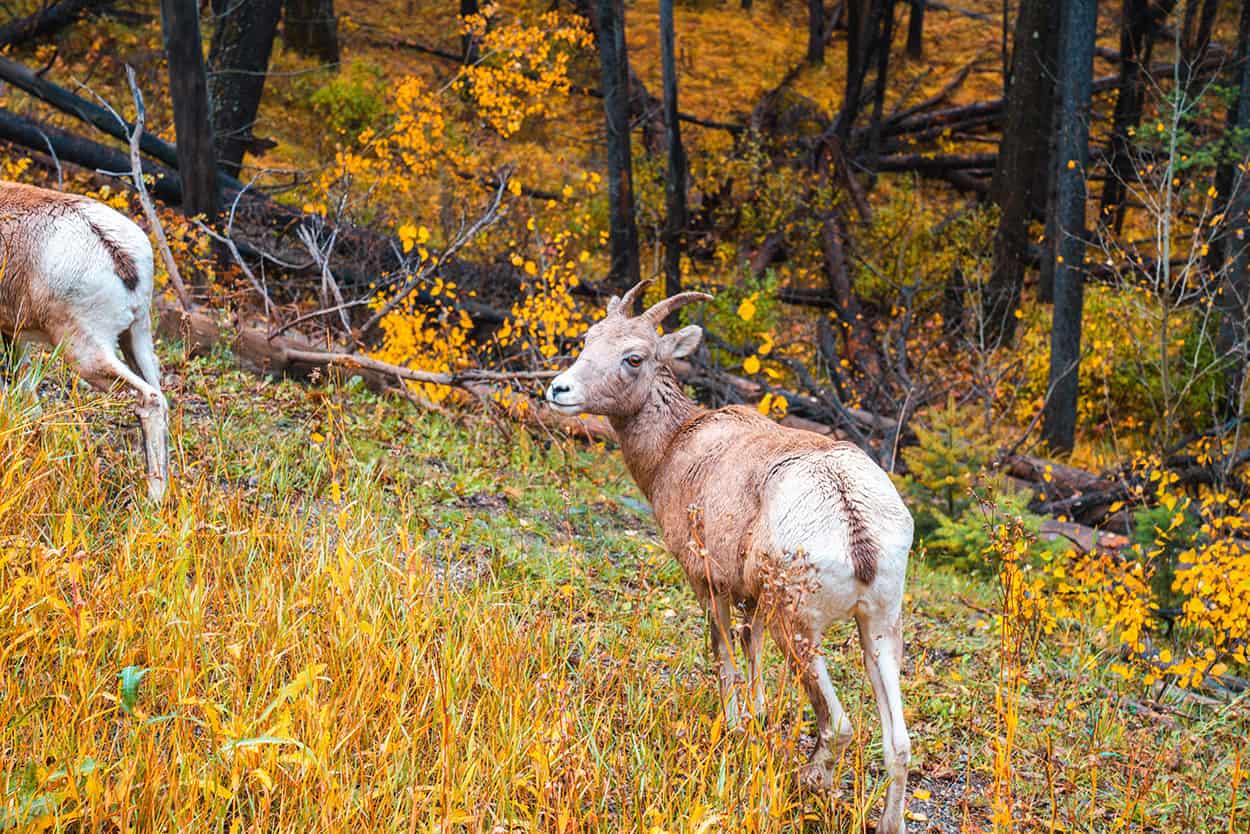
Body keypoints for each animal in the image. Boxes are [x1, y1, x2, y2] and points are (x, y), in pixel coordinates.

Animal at [547, 282, 920, 834]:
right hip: (879, 626)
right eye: (589, 339)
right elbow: (752, 652)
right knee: (898, 744)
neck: (673, 448)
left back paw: (810, 783)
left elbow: (724, 656)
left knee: (839, 724)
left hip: (800, 626)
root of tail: (856, 524)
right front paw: (757, 722)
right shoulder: (755, 599)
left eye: (634, 357)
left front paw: (735, 727)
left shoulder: (707, 581)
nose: (560, 390)